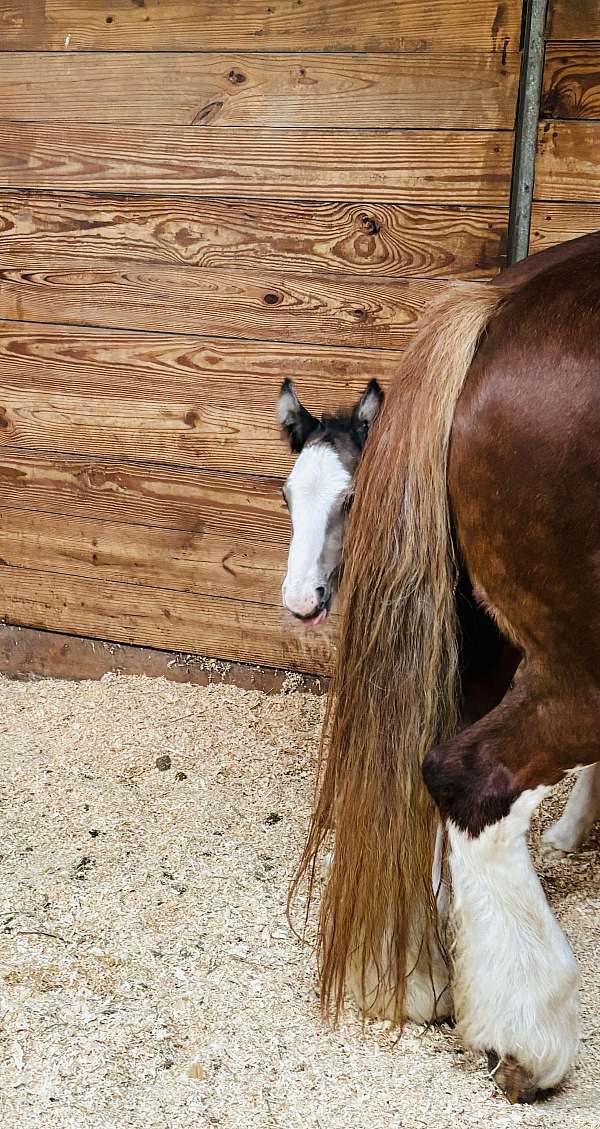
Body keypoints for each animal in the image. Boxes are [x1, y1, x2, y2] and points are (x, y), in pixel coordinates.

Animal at [289, 231, 596, 1101]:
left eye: (349, 498)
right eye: (287, 496)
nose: (300, 600)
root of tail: (494, 305)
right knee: (469, 775)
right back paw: (527, 1027)